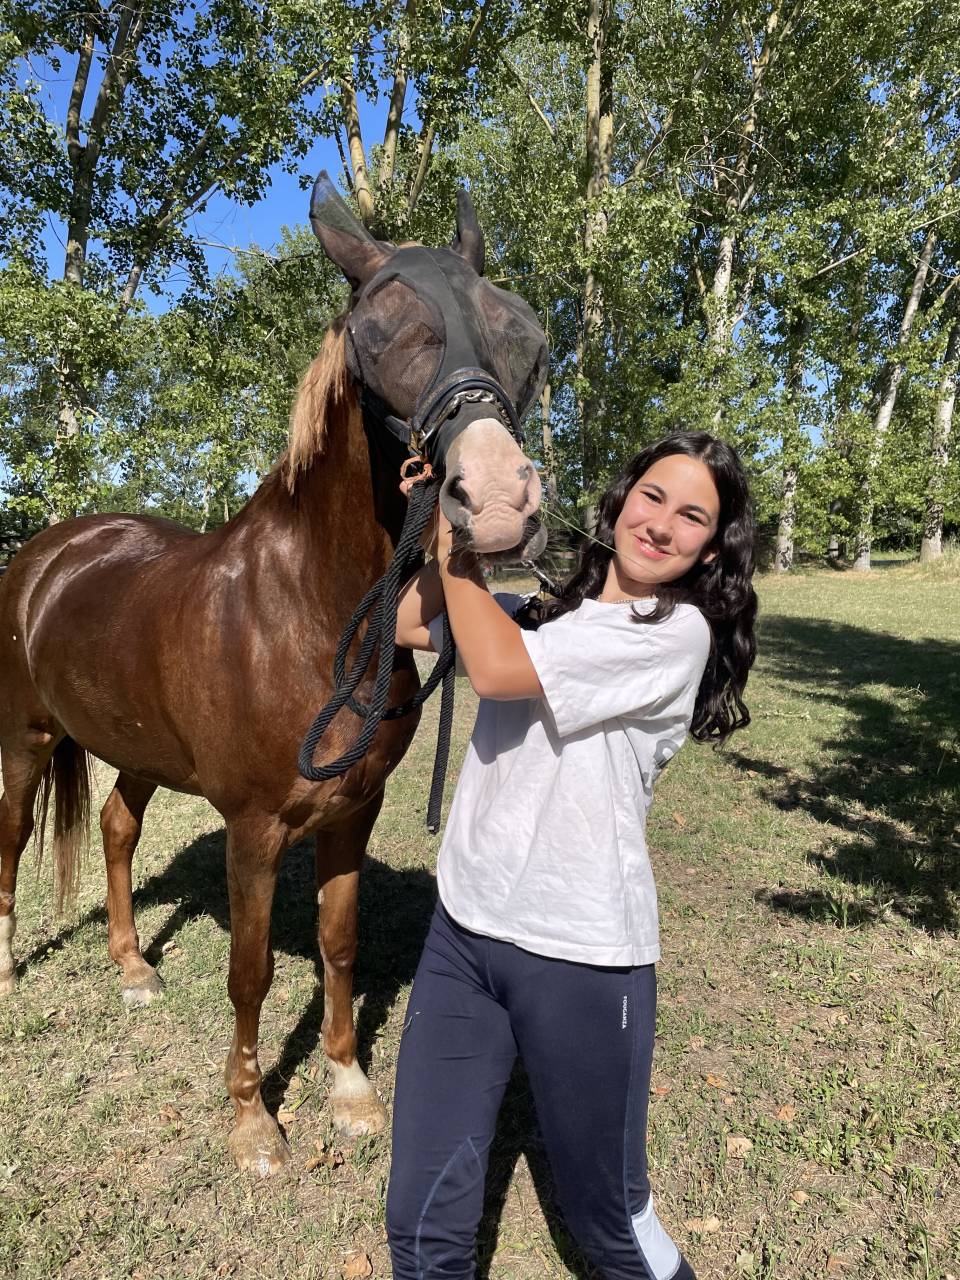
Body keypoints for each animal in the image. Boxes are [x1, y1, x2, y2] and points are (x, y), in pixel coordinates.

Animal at [0, 177, 548, 1176]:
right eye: (377, 331)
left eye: (521, 334)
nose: (498, 504)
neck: (303, 611)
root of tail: (50, 553)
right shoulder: (253, 830)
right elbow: (249, 972)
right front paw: (254, 1120)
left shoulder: (352, 812)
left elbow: (339, 943)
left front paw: (350, 1089)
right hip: (25, 737)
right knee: (15, 836)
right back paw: (11, 967)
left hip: (136, 750)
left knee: (117, 828)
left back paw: (132, 967)